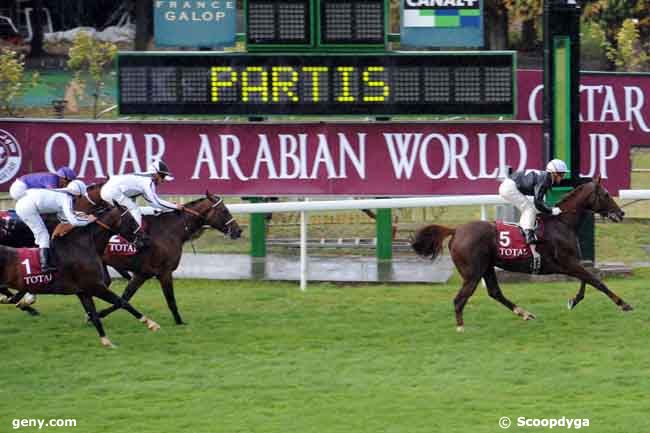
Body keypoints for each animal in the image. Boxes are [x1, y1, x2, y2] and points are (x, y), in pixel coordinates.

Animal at [0, 206, 160, 348]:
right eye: (131, 220)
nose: (147, 239)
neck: (83, 247)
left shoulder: (84, 291)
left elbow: (94, 315)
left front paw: (106, 342)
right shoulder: (95, 286)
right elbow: (122, 302)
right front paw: (151, 323)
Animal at [92, 193, 242, 324]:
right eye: (224, 210)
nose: (238, 230)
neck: (169, 231)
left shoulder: (142, 274)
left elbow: (125, 298)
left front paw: (97, 315)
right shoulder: (165, 272)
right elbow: (170, 300)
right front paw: (180, 322)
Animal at [410, 177, 628, 332]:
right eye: (606, 194)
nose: (621, 214)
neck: (562, 223)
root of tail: (456, 230)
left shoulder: (571, 263)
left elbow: (587, 281)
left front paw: (573, 301)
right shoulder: (568, 263)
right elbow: (596, 281)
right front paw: (623, 304)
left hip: (487, 267)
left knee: (495, 292)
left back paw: (524, 313)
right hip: (472, 274)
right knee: (460, 299)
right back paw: (461, 327)